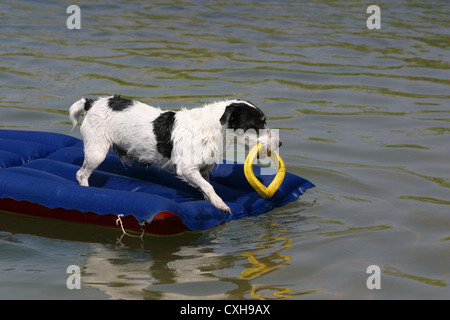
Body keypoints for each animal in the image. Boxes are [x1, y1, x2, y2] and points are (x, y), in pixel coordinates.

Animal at [69, 96, 282, 214]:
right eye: (257, 124)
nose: (280, 143)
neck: (212, 129)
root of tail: (92, 103)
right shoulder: (187, 169)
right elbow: (209, 187)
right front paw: (220, 204)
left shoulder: (203, 171)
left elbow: (206, 187)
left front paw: (211, 202)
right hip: (97, 152)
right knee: (81, 174)